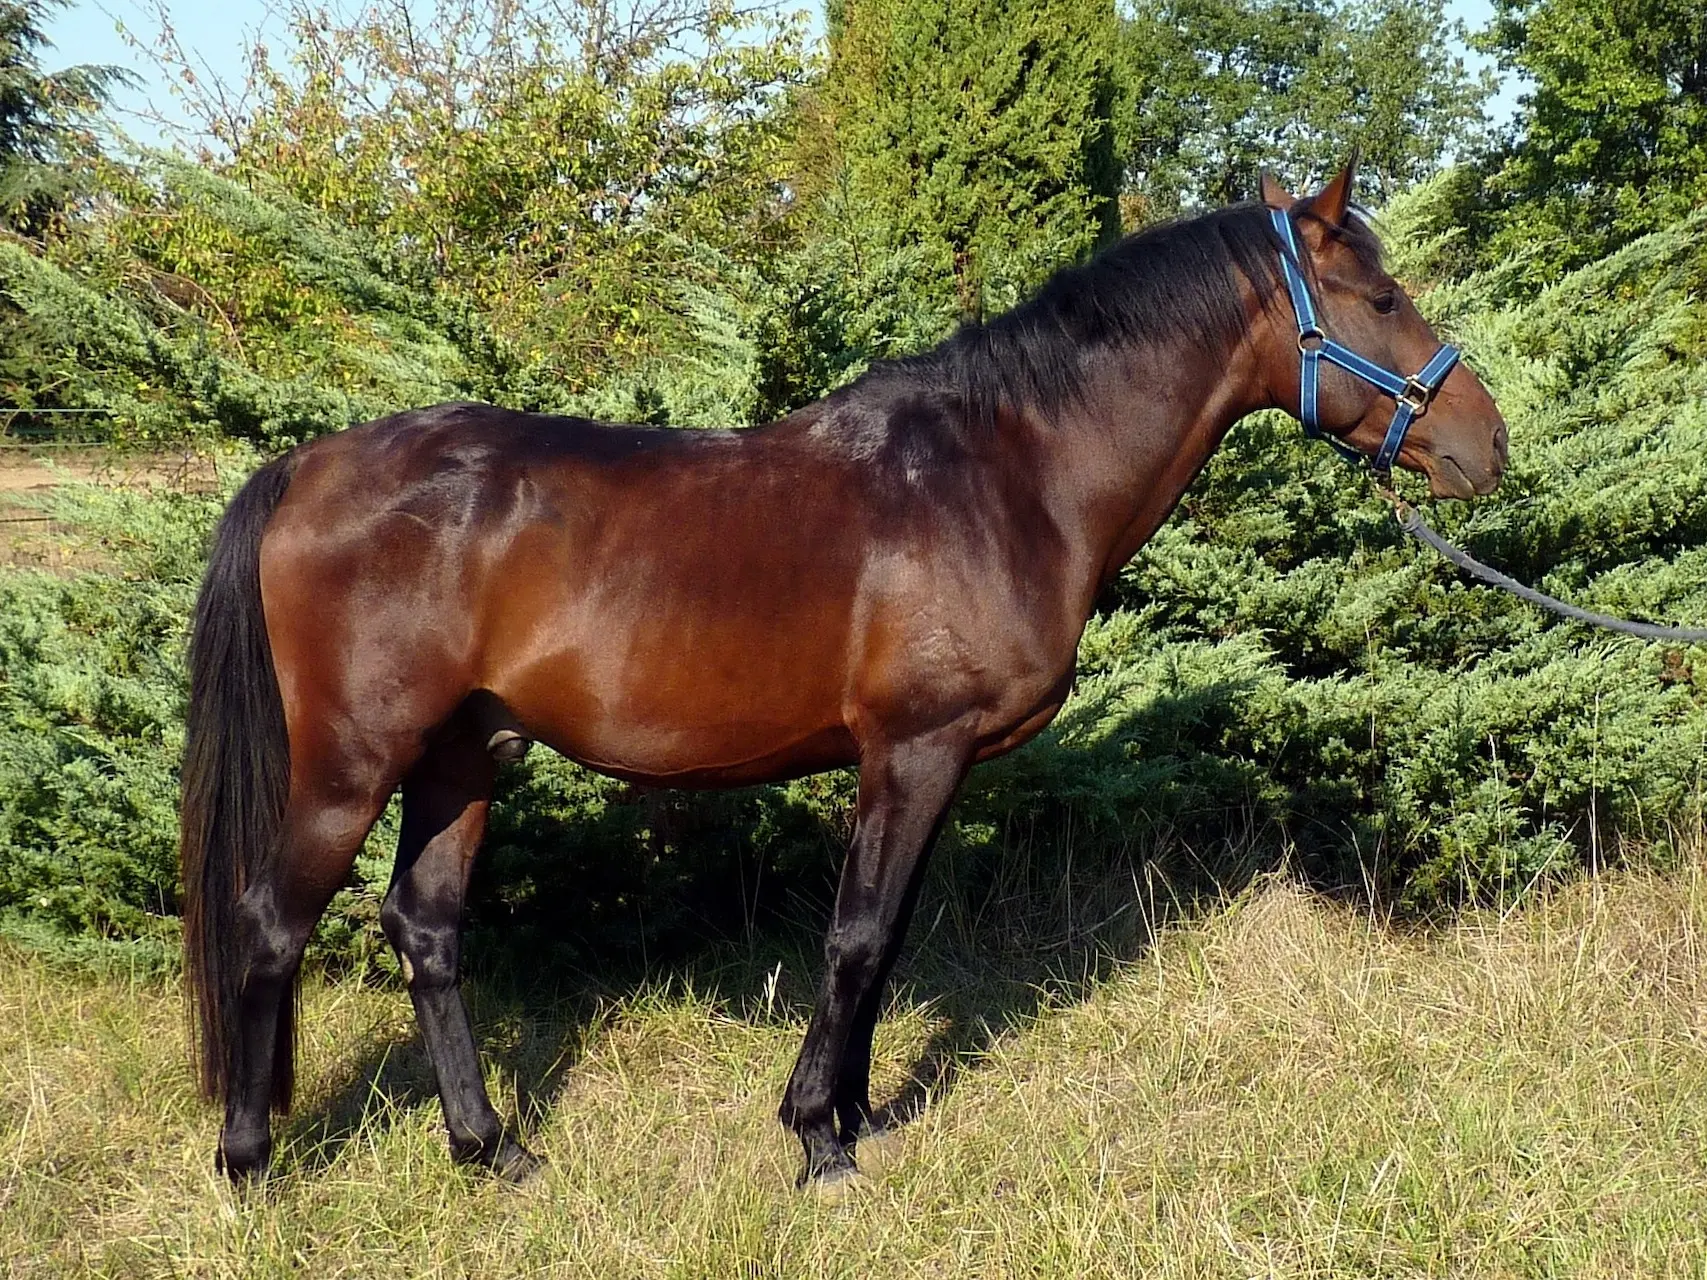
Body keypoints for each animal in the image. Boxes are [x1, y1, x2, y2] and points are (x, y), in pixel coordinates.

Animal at [180, 162, 1502, 1194]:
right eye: (1380, 296)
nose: (1486, 443)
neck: (1005, 475)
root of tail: (307, 465)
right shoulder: (912, 748)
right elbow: (859, 936)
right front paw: (819, 1139)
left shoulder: (926, 764)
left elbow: (890, 934)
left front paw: (859, 1112)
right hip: (353, 764)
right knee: (269, 921)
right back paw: (251, 1163)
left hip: (465, 755)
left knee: (427, 928)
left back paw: (492, 1147)